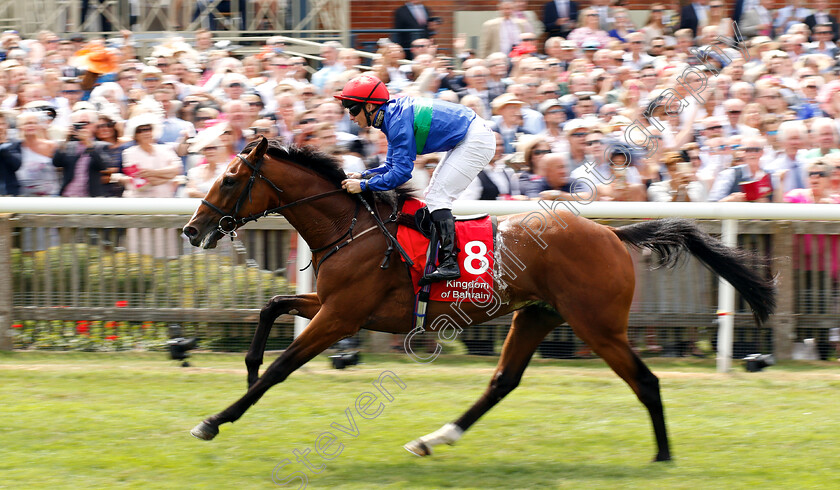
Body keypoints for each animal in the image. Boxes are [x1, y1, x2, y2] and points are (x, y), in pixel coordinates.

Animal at [182, 138, 776, 464]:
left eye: (230, 179)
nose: (192, 229)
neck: (351, 226)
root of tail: (611, 233)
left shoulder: (341, 314)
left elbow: (283, 365)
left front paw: (215, 419)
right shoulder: (332, 305)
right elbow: (272, 306)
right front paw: (246, 366)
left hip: (598, 325)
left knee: (645, 381)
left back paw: (663, 454)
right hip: (538, 315)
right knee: (502, 382)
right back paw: (433, 439)